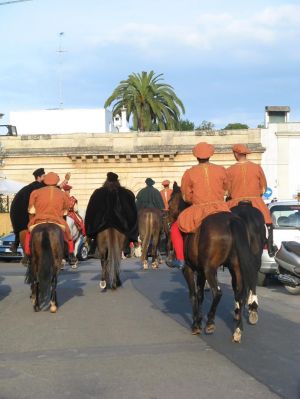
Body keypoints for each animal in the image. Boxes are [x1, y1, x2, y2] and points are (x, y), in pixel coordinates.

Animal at [168, 191, 256, 344]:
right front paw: (198, 320)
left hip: (210, 269)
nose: (166, 218)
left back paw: (210, 323)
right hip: (235, 268)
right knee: (240, 295)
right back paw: (238, 331)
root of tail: (230, 221)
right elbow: (200, 295)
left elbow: (193, 294)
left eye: (170, 201)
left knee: (218, 292)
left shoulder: (189, 269)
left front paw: (196, 324)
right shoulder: (201, 272)